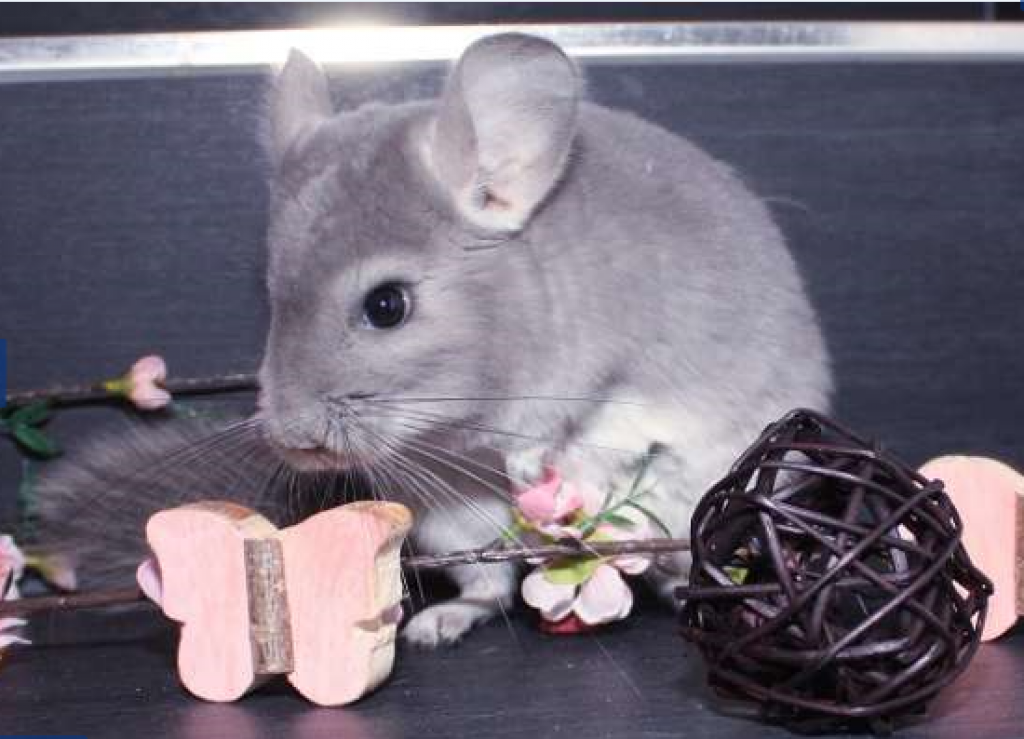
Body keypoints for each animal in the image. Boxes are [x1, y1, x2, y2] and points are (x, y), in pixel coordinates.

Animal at [36, 32, 831, 648]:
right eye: (273, 297)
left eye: (387, 305)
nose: (292, 439)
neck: (461, 422)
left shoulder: (609, 370)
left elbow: (577, 427)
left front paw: (541, 469)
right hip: (453, 522)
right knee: (492, 586)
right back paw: (431, 624)